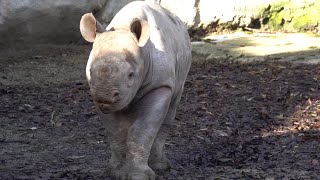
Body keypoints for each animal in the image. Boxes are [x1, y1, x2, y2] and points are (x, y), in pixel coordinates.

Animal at [79, 0, 190, 179]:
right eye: (90, 70)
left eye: (131, 75)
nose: (104, 96)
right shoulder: (95, 92)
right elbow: (115, 131)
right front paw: (116, 172)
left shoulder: (160, 85)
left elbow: (143, 128)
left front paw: (139, 175)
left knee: (171, 109)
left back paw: (160, 166)